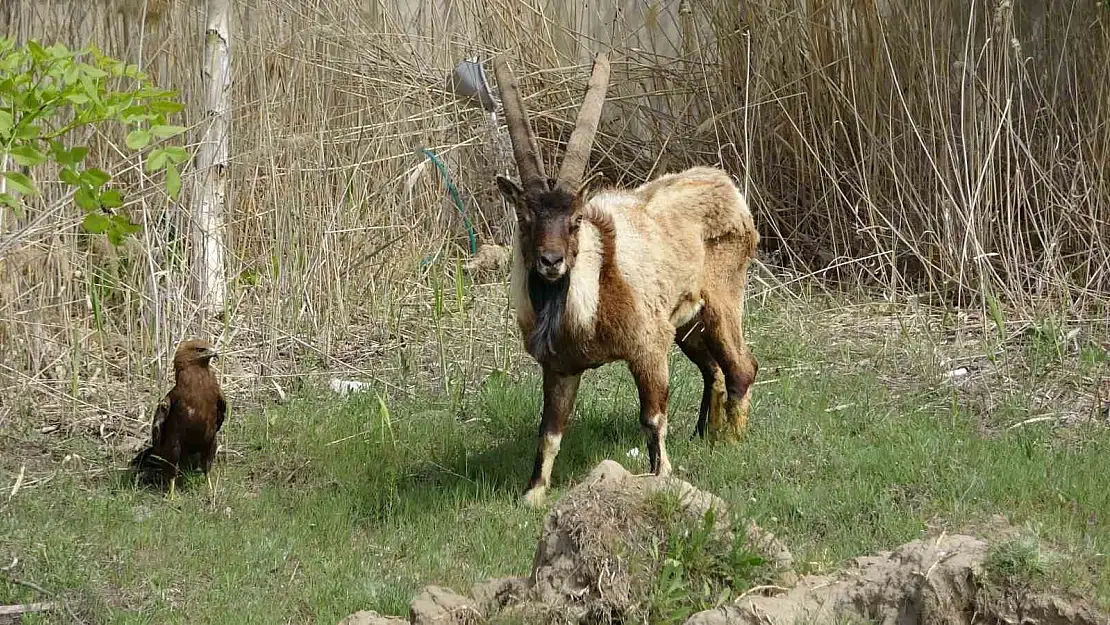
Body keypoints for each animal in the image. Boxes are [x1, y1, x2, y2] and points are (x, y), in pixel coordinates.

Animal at [495, 51, 763, 506]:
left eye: (575, 220)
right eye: (525, 219)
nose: (551, 261)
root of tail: (728, 188)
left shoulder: (647, 347)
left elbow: (652, 417)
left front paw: (661, 477)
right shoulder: (561, 367)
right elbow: (550, 432)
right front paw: (533, 494)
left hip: (722, 301)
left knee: (742, 366)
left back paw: (731, 441)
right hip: (687, 325)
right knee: (713, 370)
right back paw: (704, 434)